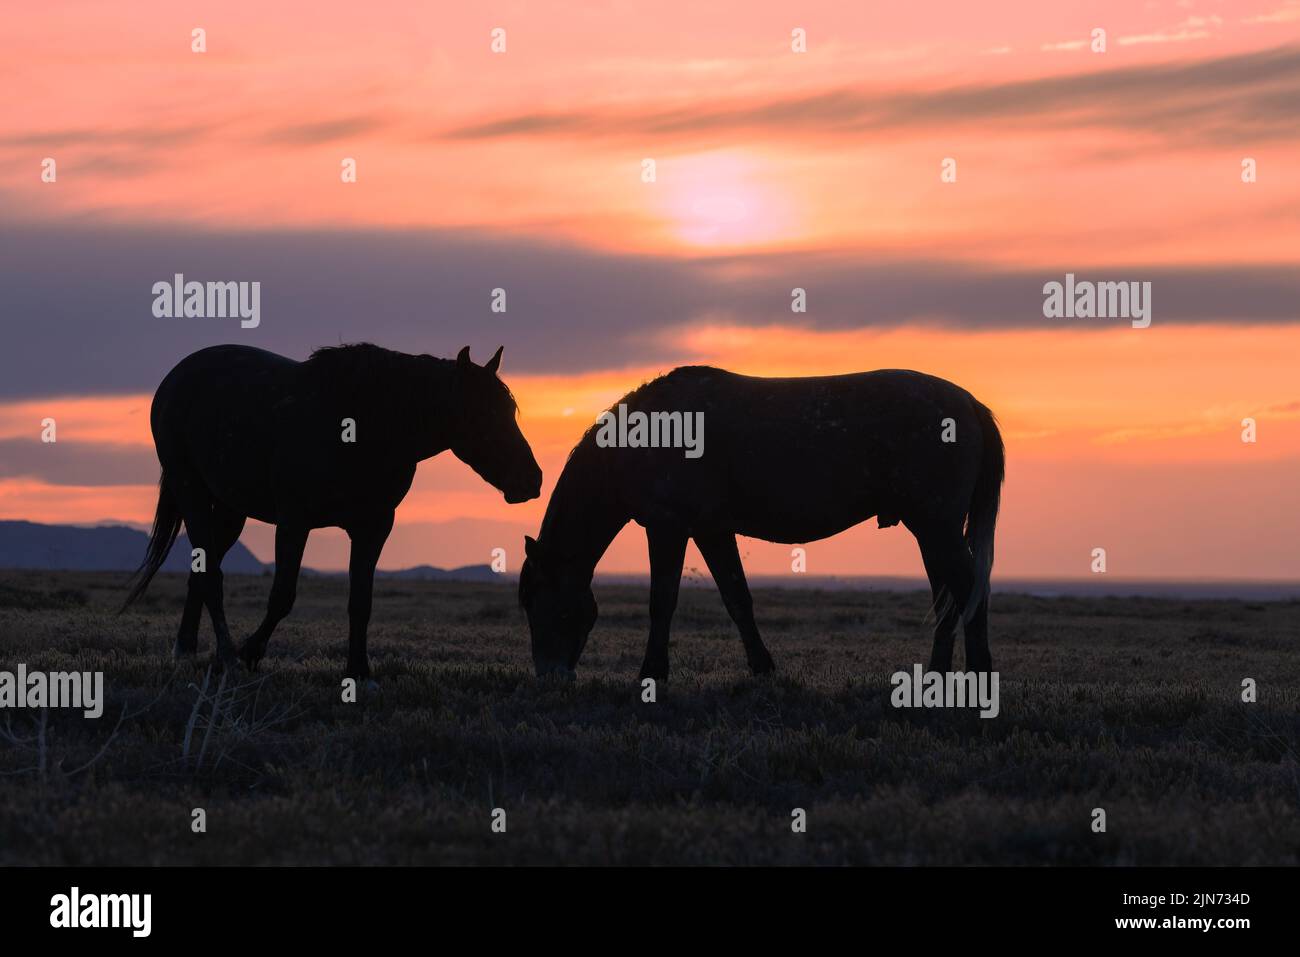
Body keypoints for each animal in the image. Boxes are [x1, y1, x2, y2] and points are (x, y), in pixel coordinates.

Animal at [124, 343, 542, 679]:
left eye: (510, 410)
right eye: (481, 415)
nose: (532, 480)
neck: (362, 428)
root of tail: (179, 375)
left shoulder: (374, 526)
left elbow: (361, 601)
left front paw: (359, 671)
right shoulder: (294, 522)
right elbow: (283, 595)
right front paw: (250, 653)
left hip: (230, 508)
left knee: (202, 568)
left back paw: (187, 649)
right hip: (190, 488)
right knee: (210, 574)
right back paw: (225, 657)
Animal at [519, 366, 1004, 681]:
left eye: (540, 602)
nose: (550, 676)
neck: (648, 434)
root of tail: (969, 404)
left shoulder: (668, 528)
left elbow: (663, 601)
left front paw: (652, 674)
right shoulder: (711, 530)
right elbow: (737, 598)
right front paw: (762, 668)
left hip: (938, 528)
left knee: (969, 591)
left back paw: (979, 675)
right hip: (932, 532)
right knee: (948, 598)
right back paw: (937, 677)